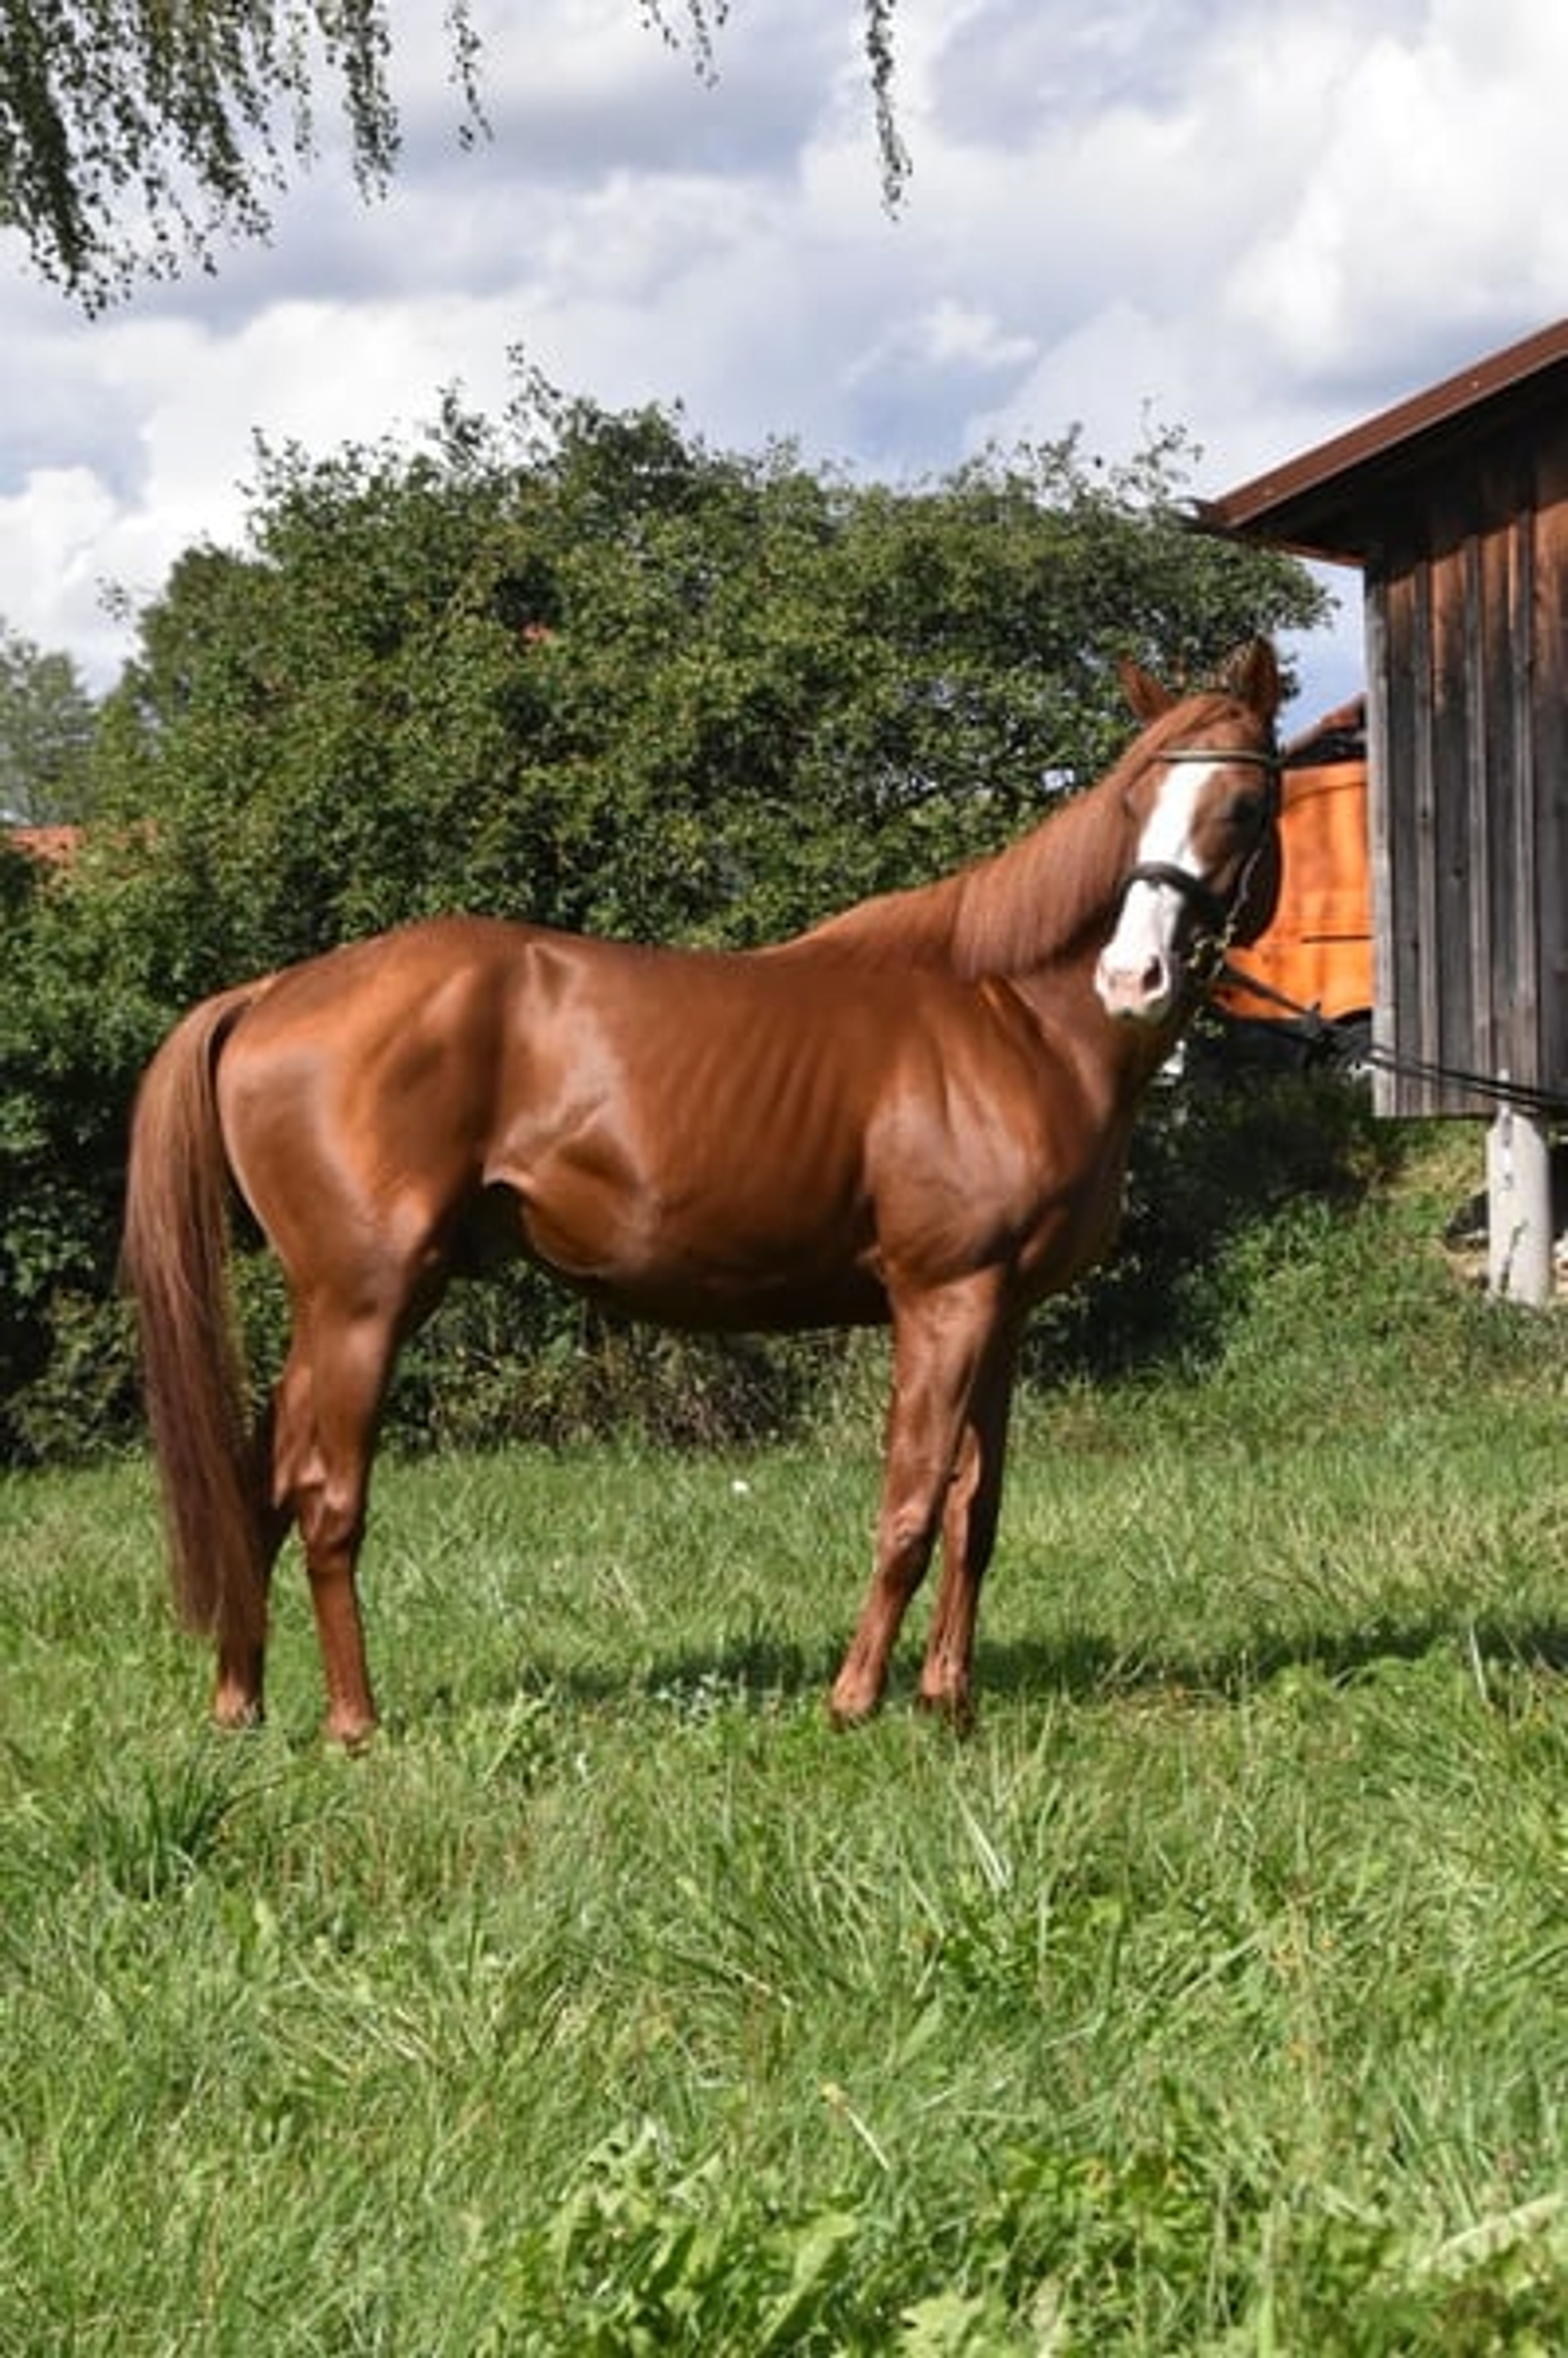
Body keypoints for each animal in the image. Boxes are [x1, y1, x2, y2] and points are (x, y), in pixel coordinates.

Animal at [121, 637, 1283, 1744]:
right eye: (1133, 799)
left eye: (1240, 803)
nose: (1131, 979)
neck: (1013, 1018)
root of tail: (272, 991)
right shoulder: (943, 1299)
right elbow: (908, 1506)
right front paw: (855, 1700)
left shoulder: (1002, 1315)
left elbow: (974, 1510)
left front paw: (948, 1703)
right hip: (364, 1303)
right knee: (326, 1497)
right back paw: (353, 1721)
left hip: (329, 1311)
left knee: (260, 1484)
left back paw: (240, 1703)